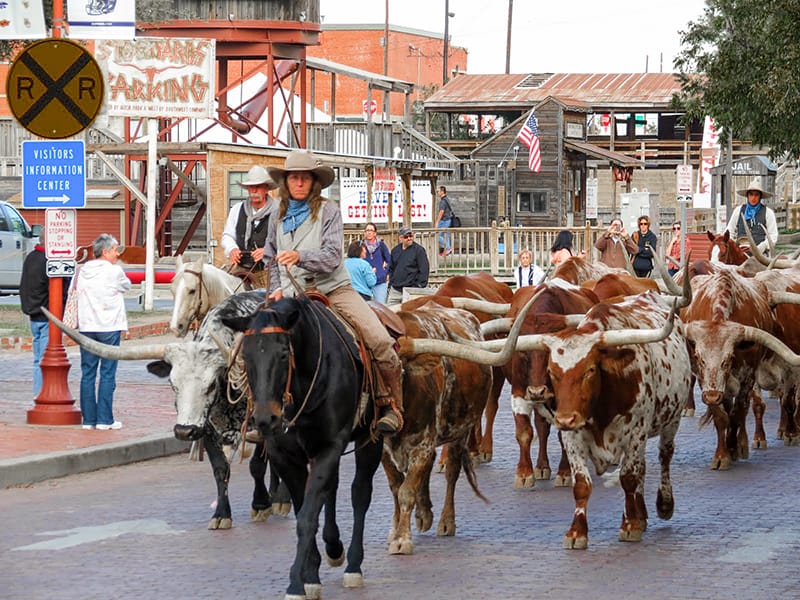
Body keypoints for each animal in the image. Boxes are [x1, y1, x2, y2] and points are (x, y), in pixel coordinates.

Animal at [222, 296, 384, 600]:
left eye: (284, 354)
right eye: (246, 356)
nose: (265, 419)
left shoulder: (329, 446)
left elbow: (308, 517)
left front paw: (296, 583)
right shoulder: (285, 456)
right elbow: (304, 509)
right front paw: (311, 574)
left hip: (371, 438)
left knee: (360, 493)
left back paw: (353, 564)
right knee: (332, 489)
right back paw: (334, 547)